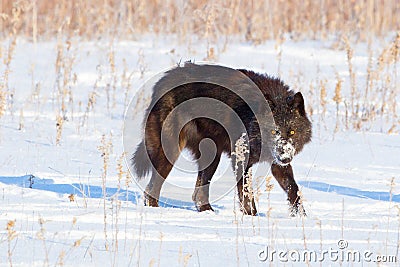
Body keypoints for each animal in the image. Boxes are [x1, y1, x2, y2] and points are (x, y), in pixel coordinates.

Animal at [133, 63, 310, 218]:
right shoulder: (241, 158)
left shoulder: (277, 163)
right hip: (171, 152)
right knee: (151, 189)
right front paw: (252, 217)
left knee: (198, 194)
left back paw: (208, 213)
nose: (285, 157)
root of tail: (163, 80)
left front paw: (302, 218)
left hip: (211, 156)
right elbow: (246, 193)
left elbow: (293, 189)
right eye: (274, 131)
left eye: (292, 131)